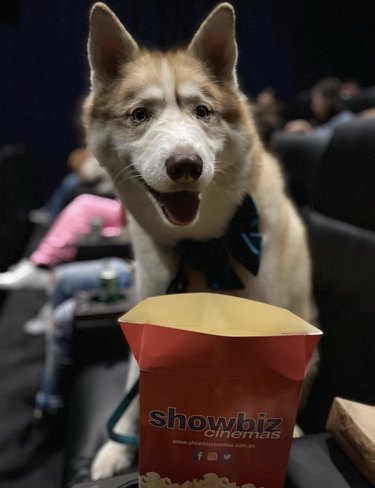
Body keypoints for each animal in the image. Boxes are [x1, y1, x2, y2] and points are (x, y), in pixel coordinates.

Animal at [83, 0, 318, 480]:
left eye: (203, 112)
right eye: (140, 114)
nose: (185, 164)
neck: (200, 246)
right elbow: (136, 383)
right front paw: (116, 449)